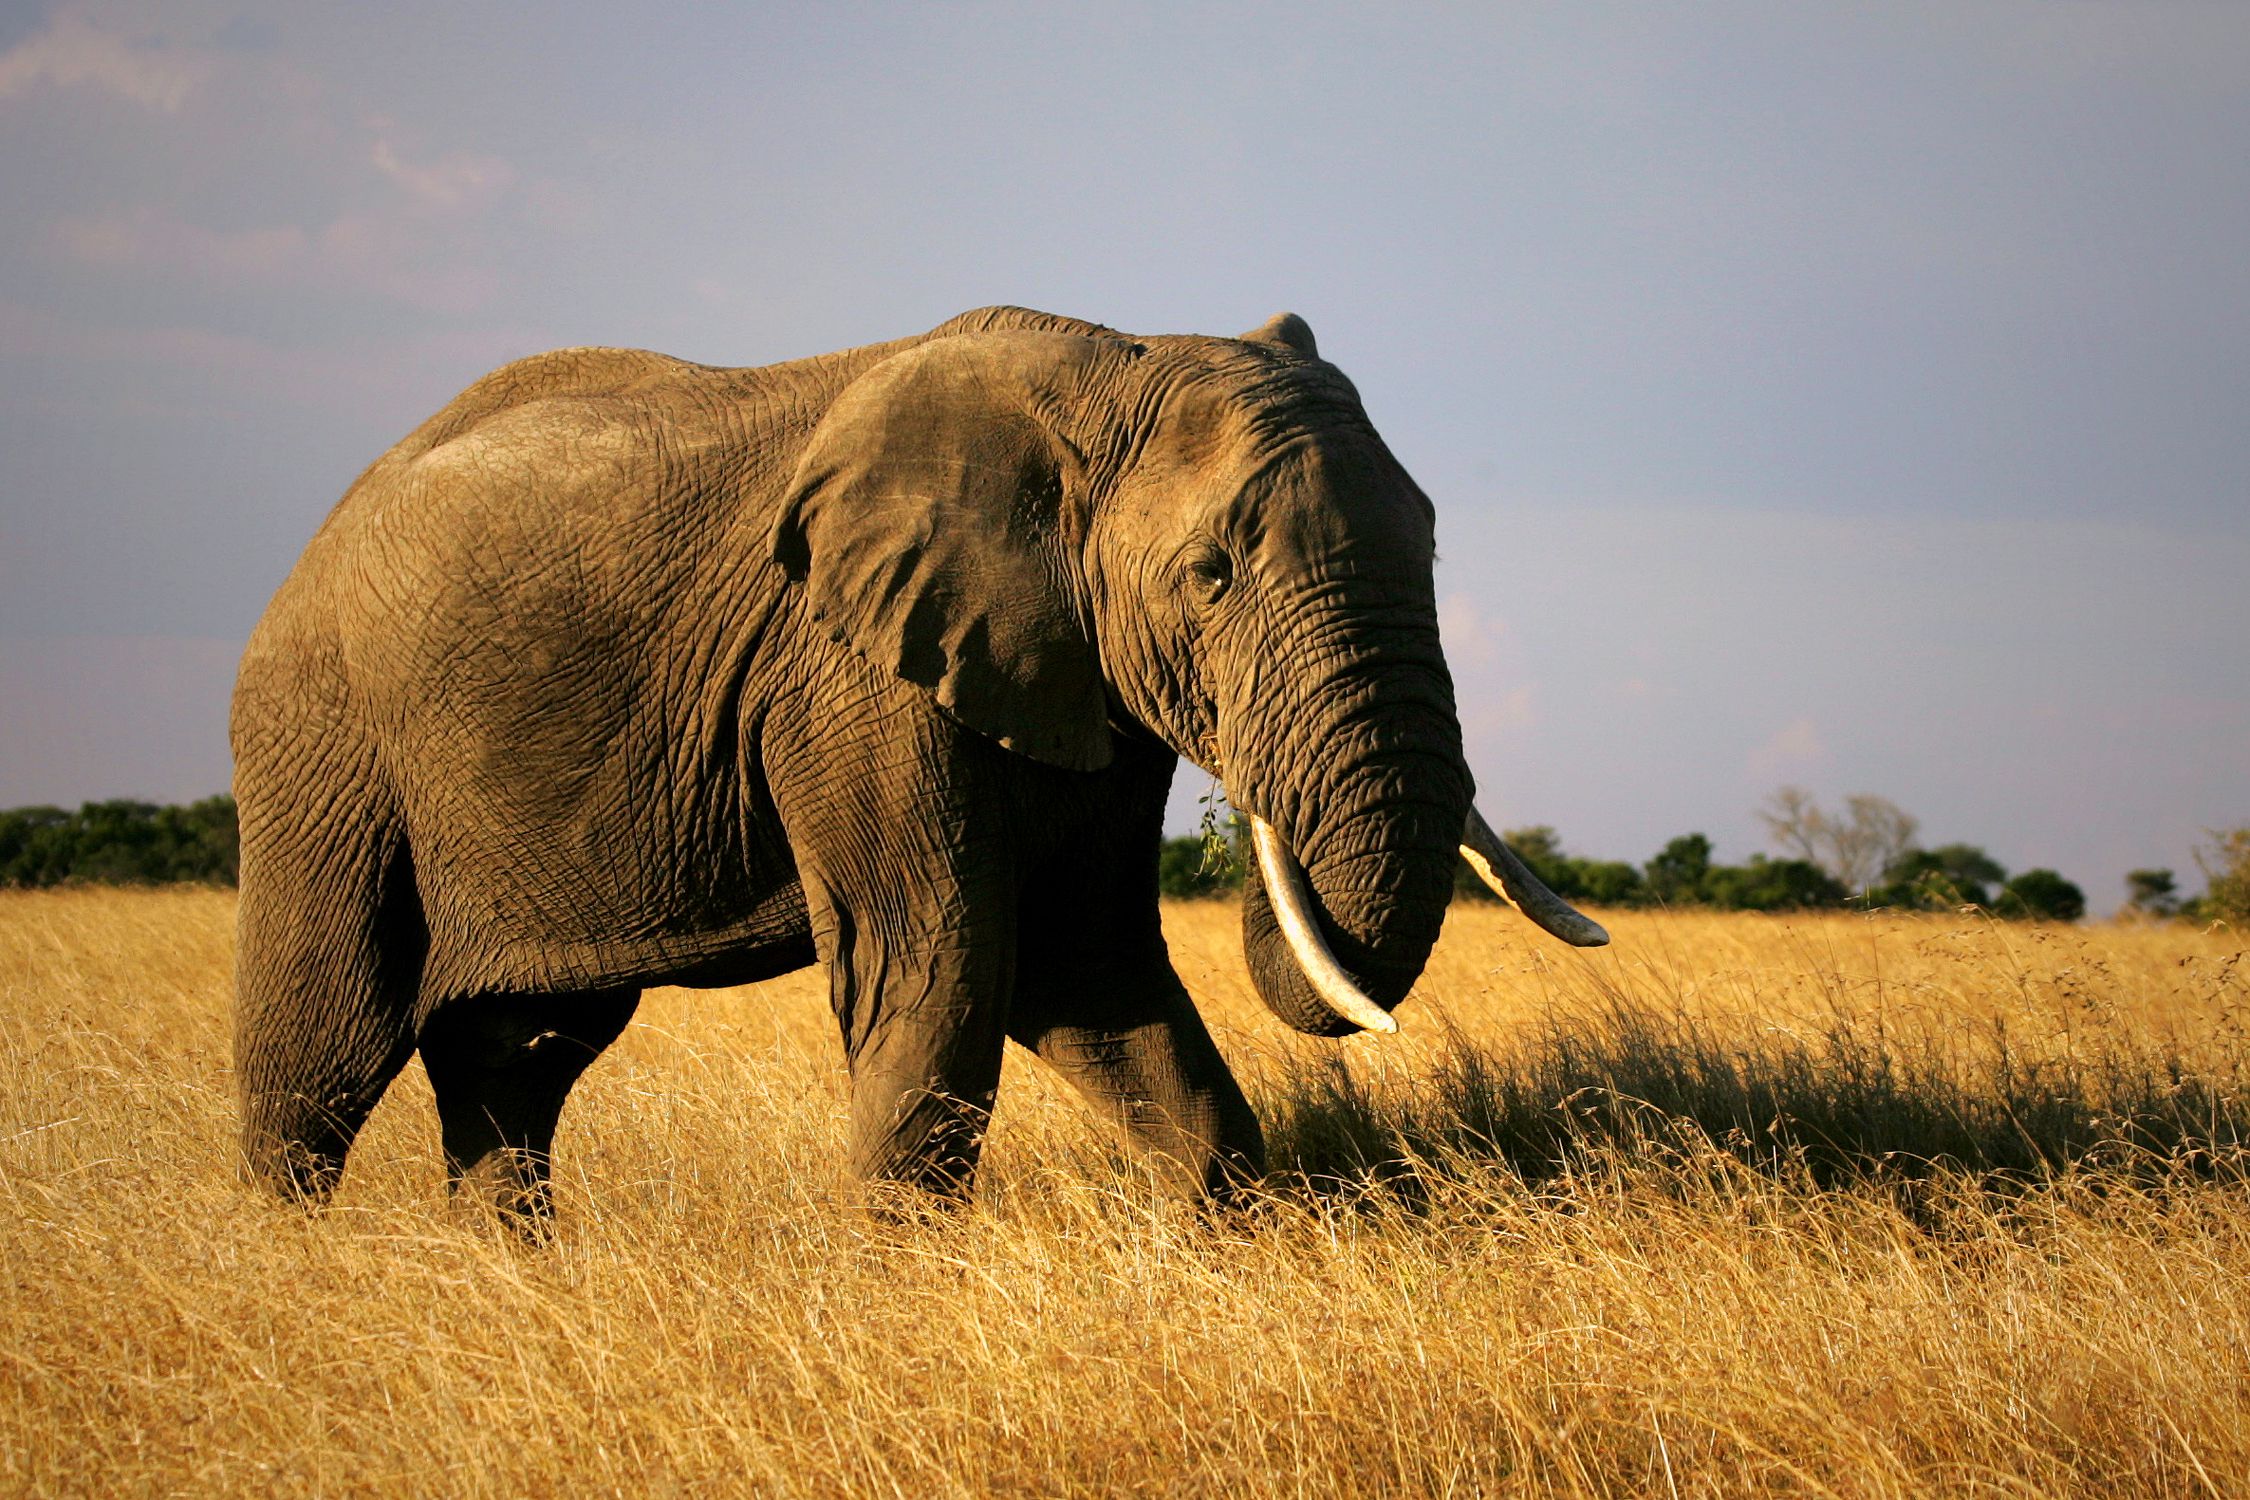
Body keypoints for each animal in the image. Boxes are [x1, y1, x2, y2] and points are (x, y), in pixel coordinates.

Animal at [237, 305, 1611, 1223]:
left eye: (1432, 543)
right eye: (1210, 575)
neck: (1100, 370)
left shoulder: (1072, 669)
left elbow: (1091, 962)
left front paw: (1228, 1232)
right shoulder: (850, 676)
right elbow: (940, 962)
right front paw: (899, 1279)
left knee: (516, 1066)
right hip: (323, 746)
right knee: (322, 1055)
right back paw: (290, 1276)